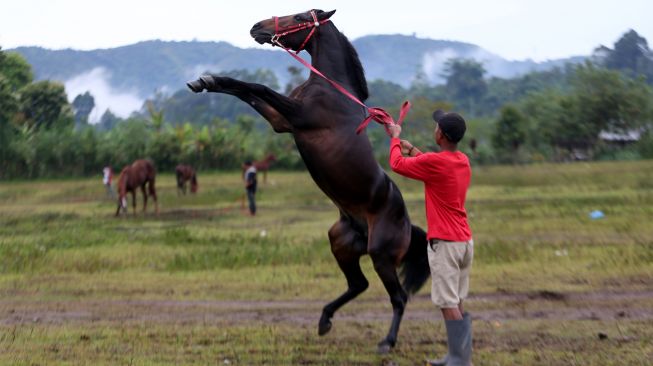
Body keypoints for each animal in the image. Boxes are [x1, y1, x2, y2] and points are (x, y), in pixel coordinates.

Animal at [186, 8, 430, 354]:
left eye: (300, 17)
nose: (257, 28)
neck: (331, 89)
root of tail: (410, 226)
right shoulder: (282, 121)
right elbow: (246, 92)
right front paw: (205, 81)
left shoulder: (298, 115)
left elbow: (257, 87)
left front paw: (207, 80)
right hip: (341, 244)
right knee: (359, 284)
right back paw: (325, 320)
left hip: (382, 255)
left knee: (398, 297)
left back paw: (387, 342)